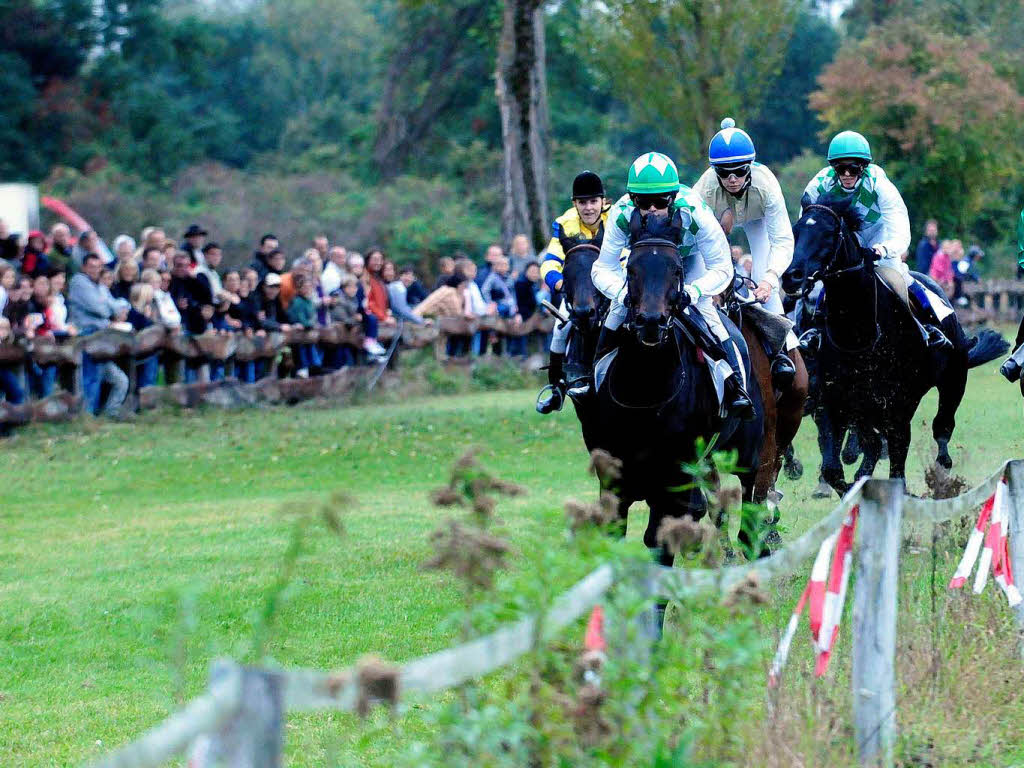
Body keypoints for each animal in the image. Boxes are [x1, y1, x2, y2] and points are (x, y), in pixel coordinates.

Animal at [589, 240, 765, 565]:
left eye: (677, 271)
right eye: (631, 269)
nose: (650, 322)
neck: (645, 392)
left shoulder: (672, 476)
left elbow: (659, 539)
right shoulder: (614, 476)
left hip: (747, 446)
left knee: (750, 487)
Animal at [782, 195, 1007, 489]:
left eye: (829, 233)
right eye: (796, 231)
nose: (791, 277)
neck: (858, 334)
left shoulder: (899, 404)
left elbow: (896, 462)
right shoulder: (835, 400)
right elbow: (834, 466)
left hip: (953, 381)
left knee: (942, 428)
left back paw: (942, 471)